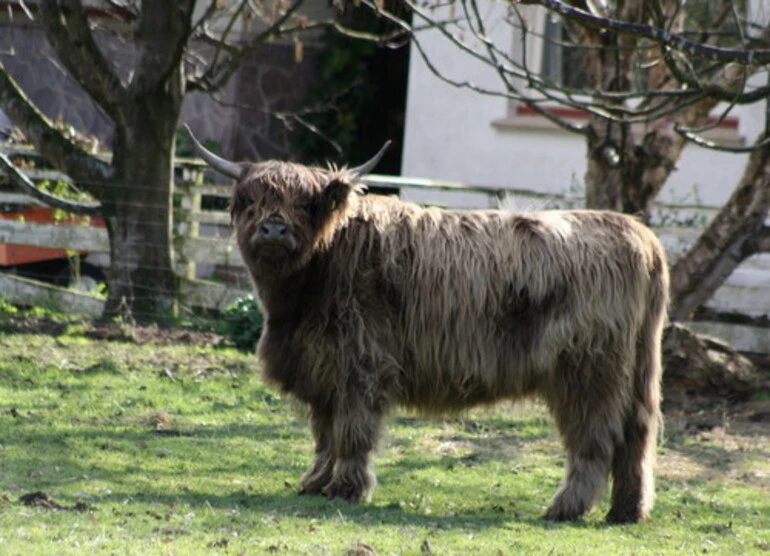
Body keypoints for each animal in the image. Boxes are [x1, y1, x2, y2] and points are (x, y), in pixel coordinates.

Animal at [186, 127, 664, 524]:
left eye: (305, 204)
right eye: (250, 201)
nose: (273, 230)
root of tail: (637, 233)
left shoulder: (361, 362)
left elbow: (352, 430)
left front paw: (346, 488)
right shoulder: (321, 369)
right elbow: (324, 432)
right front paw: (315, 482)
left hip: (586, 372)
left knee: (595, 439)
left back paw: (566, 507)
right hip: (637, 371)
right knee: (636, 435)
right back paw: (627, 511)